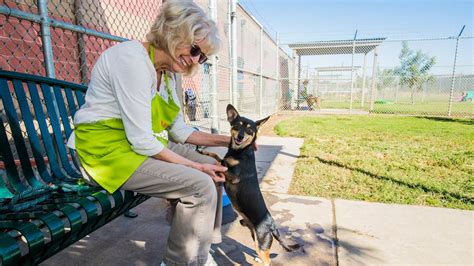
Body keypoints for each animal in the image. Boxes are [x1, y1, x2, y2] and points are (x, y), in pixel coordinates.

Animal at [200, 105, 300, 264]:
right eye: (237, 125)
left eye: (249, 130)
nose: (240, 137)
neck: (240, 151)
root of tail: (272, 226)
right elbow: (218, 157)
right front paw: (204, 152)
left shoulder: (233, 175)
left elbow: (221, 160)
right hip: (256, 239)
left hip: (262, 242)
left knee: (268, 262)